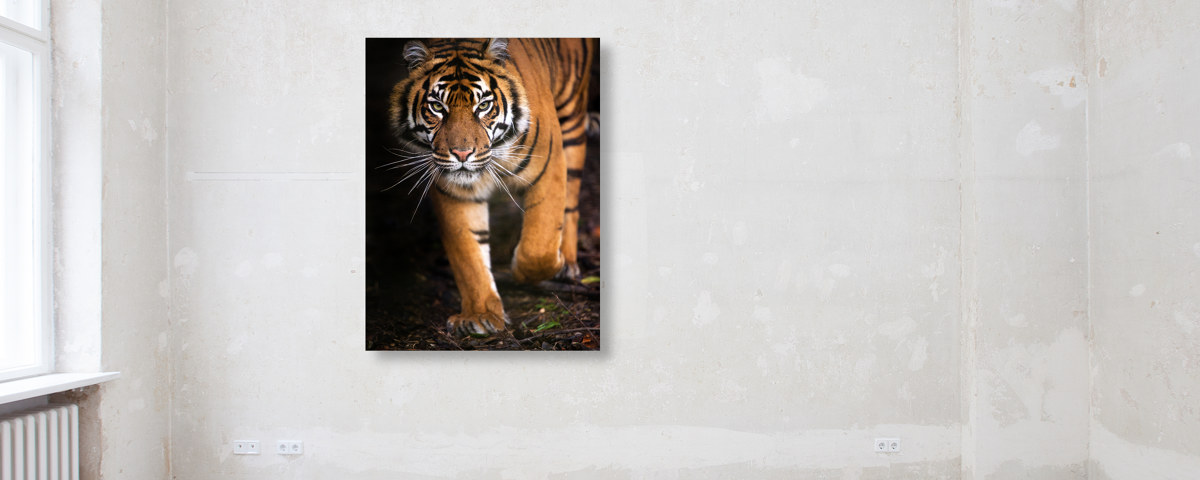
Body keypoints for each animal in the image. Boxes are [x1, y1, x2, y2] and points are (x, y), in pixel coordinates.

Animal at [388, 38, 596, 335]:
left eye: (484, 105)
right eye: (437, 107)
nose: (462, 154)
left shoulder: (550, 164)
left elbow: (538, 246)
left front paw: (536, 268)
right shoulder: (455, 192)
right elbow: (469, 254)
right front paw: (480, 315)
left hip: (572, 118)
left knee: (571, 203)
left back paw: (566, 263)